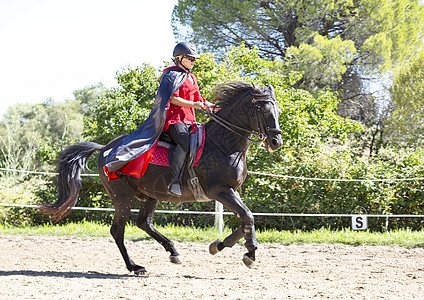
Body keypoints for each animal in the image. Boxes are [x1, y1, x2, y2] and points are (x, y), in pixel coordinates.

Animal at [36, 81, 282, 274]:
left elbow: (246, 220)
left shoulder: (231, 191)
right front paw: (250, 254)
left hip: (149, 194)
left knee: (144, 223)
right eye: (261, 108)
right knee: (118, 230)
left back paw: (173, 252)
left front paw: (220, 245)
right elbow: (248, 217)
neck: (222, 144)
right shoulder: (219, 191)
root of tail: (105, 148)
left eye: (277, 109)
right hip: (122, 197)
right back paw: (135, 267)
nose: (276, 141)